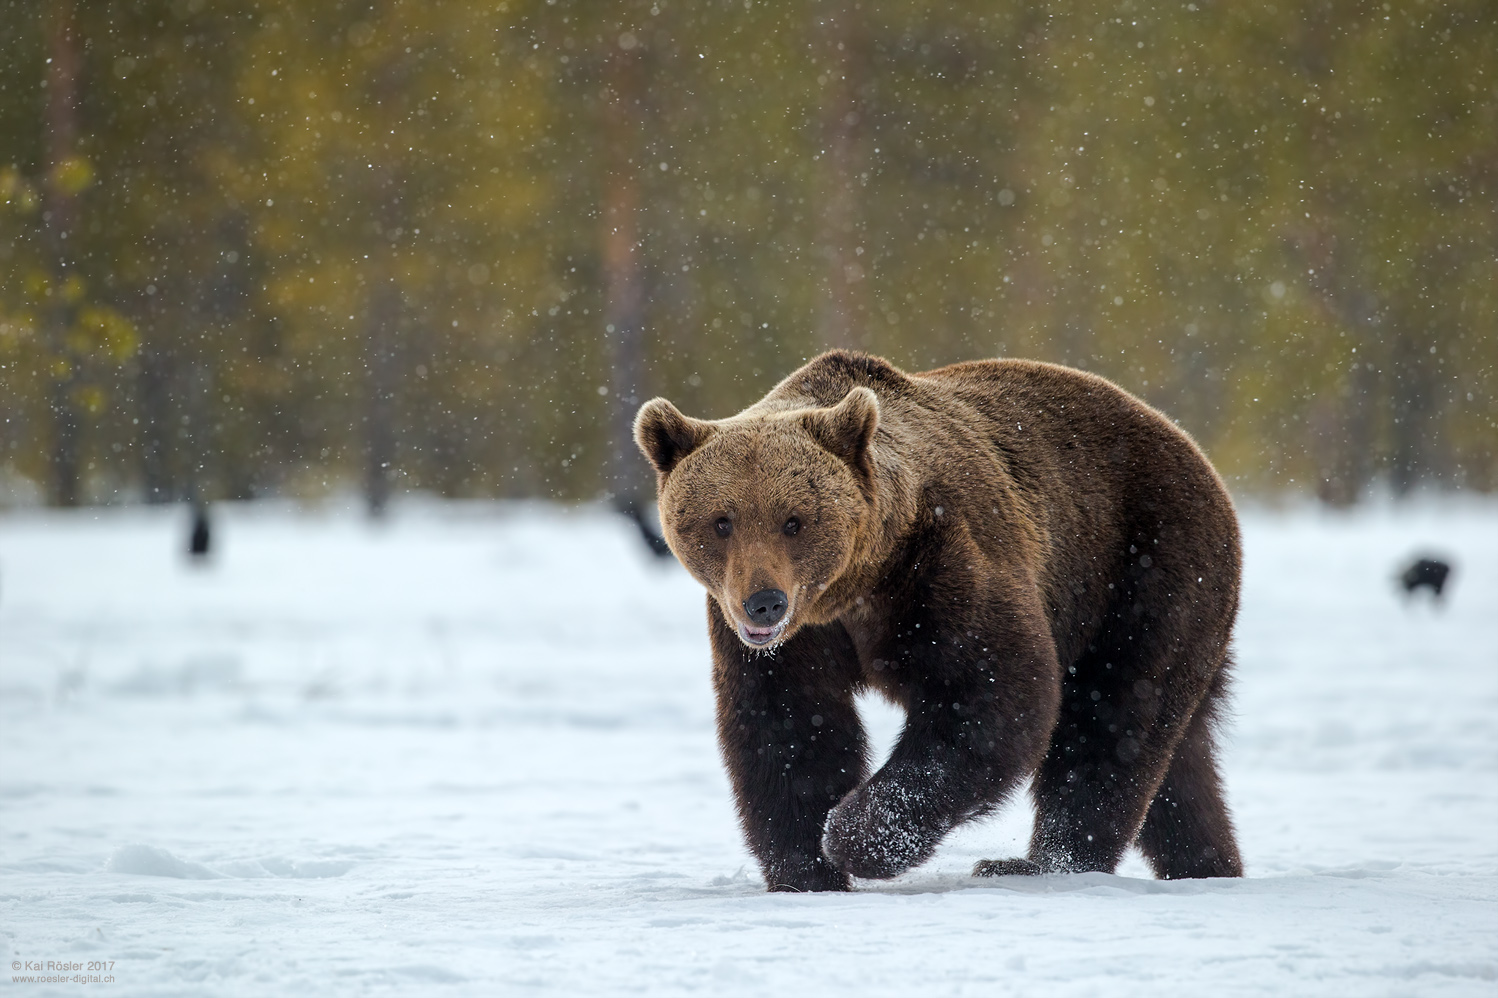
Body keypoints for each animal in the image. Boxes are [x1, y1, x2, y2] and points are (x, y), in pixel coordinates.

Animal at [632, 347, 1240, 887]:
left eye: (794, 520)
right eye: (721, 520)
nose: (765, 601)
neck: (853, 591)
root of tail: (1191, 448)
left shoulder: (942, 563)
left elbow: (990, 695)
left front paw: (855, 837)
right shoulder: (791, 641)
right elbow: (788, 727)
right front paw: (806, 867)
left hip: (1144, 567)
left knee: (1113, 718)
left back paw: (1039, 863)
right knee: (1179, 762)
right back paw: (1208, 864)